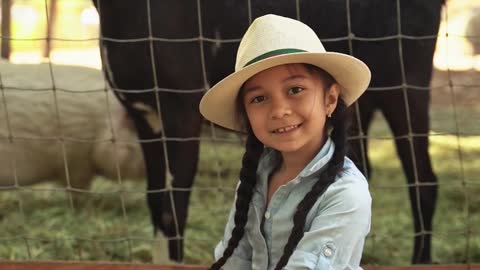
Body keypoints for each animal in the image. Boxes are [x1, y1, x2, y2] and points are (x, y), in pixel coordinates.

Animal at [94, 0, 442, 264]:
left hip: (404, 77)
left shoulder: (181, 110)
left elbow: (171, 209)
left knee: (423, 178)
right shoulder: (145, 117)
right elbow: (155, 201)